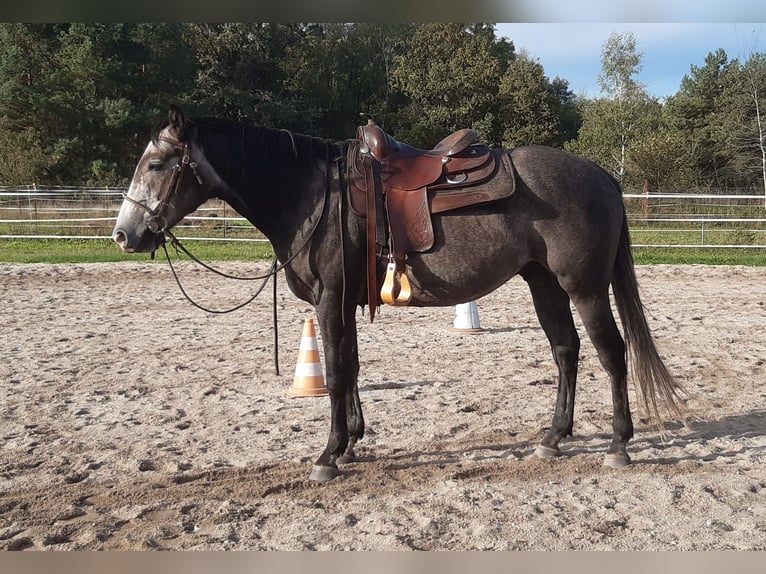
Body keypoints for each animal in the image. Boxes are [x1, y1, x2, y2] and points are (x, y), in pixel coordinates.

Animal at [111, 107, 688, 482]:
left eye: (157, 164)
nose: (124, 234)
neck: (315, 196)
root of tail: (604, 177)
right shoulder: (342, 302)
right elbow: (350, 367)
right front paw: (351, 443)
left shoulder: (329, 299)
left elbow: (336, 372)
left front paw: (328, 455)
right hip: (543, 282)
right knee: (566, 351)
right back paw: (553, 439)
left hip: (584, 287)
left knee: (612, 353)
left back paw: (617, 444)